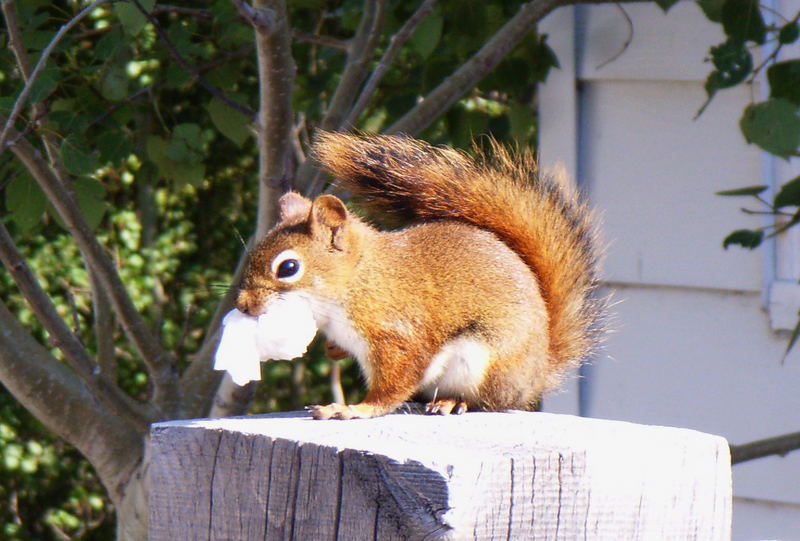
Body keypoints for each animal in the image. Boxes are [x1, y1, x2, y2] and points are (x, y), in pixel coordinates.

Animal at [238, 131, 608, 418]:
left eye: (288, 267)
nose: (243, 305)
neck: (359, 280)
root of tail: (536, 375)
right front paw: (333, 351)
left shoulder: (397, 333)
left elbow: (392, 385)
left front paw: (354, 409)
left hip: (483, 361)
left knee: (485, 402)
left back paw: (451, 402)